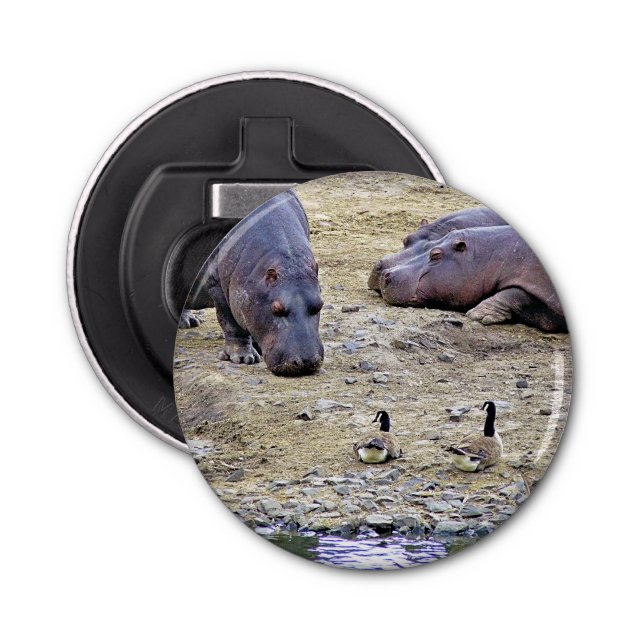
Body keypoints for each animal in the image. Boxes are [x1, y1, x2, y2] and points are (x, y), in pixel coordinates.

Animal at [183, 190, 325, 376]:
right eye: (277, 308)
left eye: (320, 305)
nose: (306, 362)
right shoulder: (217, 288)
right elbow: (230, 323)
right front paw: (243, 358)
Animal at [379, 226, 566, 333]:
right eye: (430, 245)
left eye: (436, 254)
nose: (386, 273)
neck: (491, 254)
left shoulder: (540, 282)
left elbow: (515, 294)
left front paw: (478, 314)